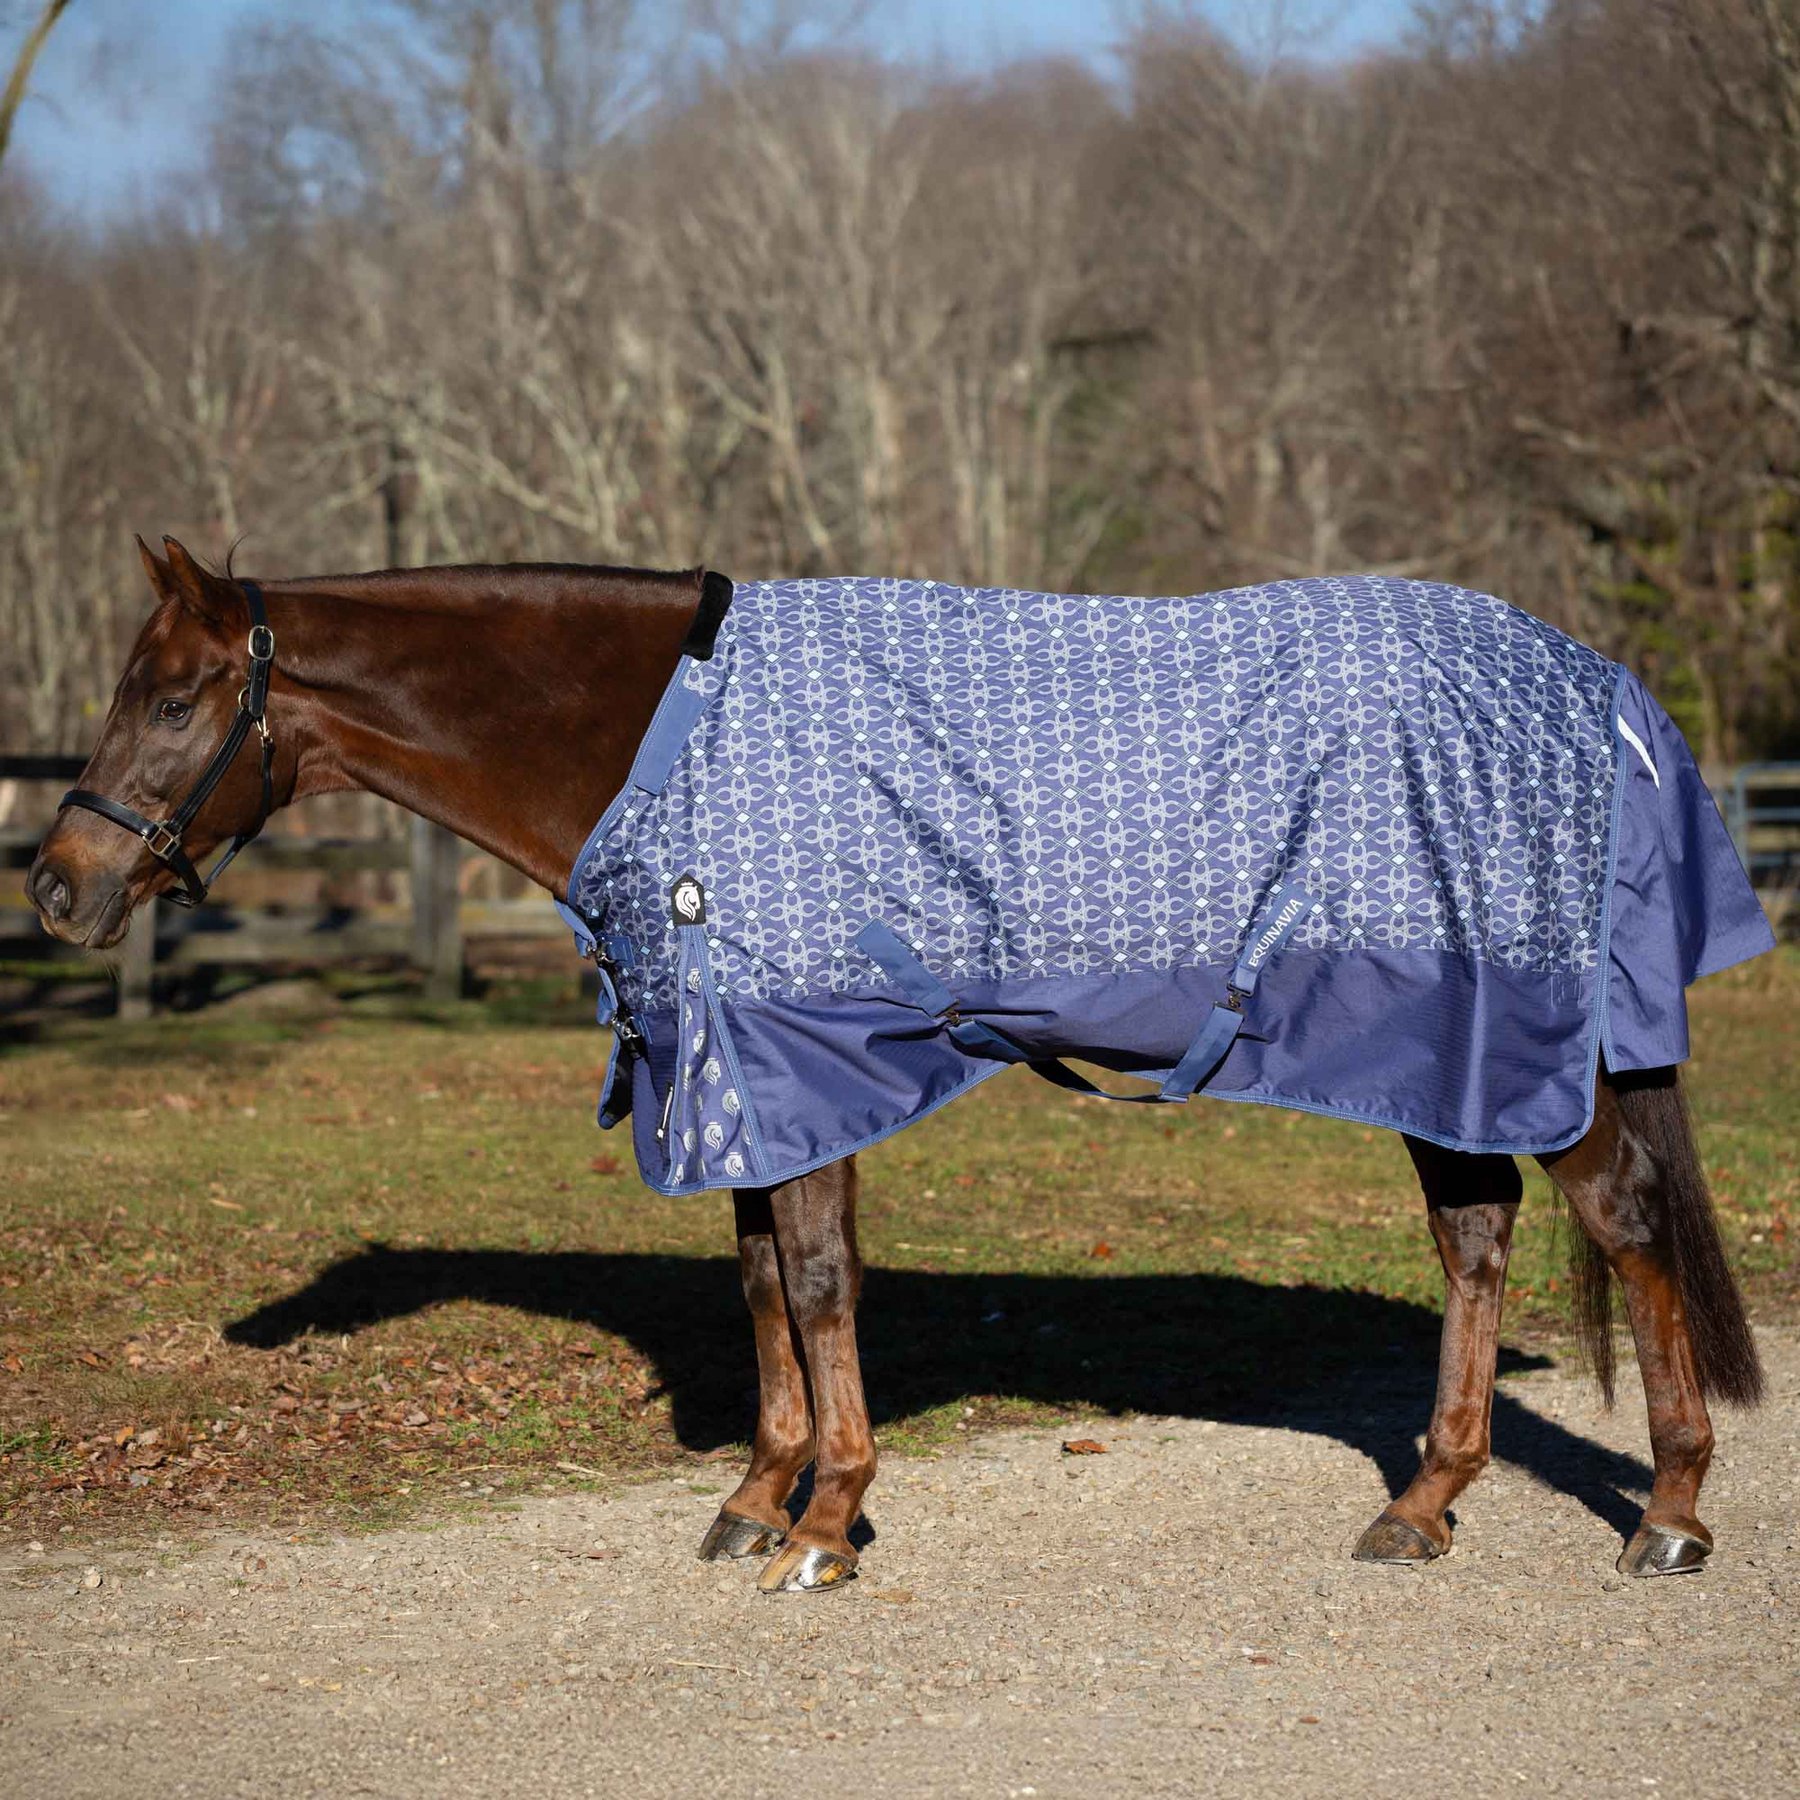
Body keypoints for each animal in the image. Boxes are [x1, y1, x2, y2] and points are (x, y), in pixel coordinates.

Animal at [27, 537, 1766, 1593]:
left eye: (172, 698)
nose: (56, 885)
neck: (670, 735)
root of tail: (1600, 688)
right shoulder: (731, 1070)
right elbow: (760, 1281)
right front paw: (759, 1498)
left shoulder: (801, 1055)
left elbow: (814, 1282)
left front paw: (831, 1523)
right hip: (1433, 1048)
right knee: (1477, 1237)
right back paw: (1424, 1503)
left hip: (1509, 1032)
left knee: (1614, 1223)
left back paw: (1672, 1514)